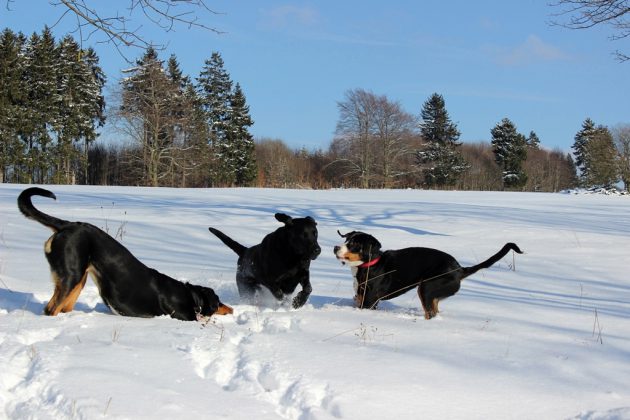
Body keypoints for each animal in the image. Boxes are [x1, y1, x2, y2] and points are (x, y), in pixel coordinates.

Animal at [17, 187, 235, 322]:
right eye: (218, 302)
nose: (232, 308)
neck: (190, 295)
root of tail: (66, 224)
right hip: (71, 276)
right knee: (51, 309)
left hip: (80, 278)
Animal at [336, 230, 524, 318]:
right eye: (346, 240)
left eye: (354, 244)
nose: (335, 247)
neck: (370, 265)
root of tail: (459, 268)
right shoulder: (360, 296)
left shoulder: (369, 300)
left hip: (426, 288)